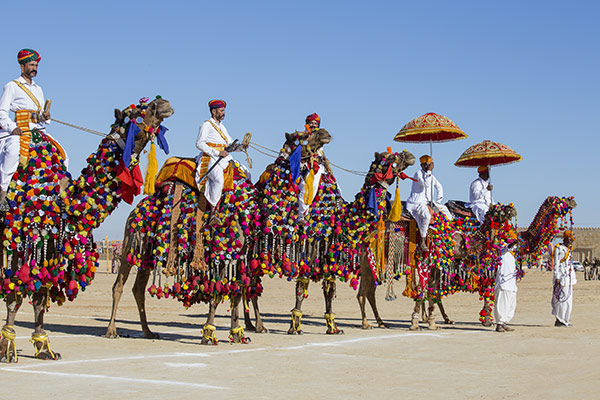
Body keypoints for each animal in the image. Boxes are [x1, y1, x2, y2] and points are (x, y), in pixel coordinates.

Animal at [0, 97, 173, 362]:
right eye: (134, 114)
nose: (163, 103)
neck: (60, 198)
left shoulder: (51, 245)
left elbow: (40, 296)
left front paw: (44, 348)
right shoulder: (22, 240)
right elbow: (14, 295)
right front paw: (8, 348)